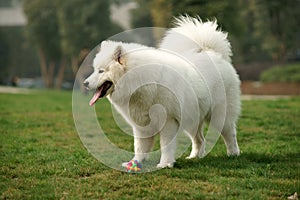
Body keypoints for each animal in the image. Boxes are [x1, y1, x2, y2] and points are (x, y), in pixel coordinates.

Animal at [84, 16, 241, 169]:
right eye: (95, 70)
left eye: (101, 71)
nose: (85, 83)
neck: (140, 81)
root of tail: (212, 53)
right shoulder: (141, 125)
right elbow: (139, 146)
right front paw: (135, 162)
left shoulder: (168, 121)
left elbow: (165, 145)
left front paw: (165, 164)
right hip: (192, 118)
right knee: (199, 139)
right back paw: (194, 157)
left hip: (220, 116)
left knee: (230, 134)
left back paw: (233, 154)